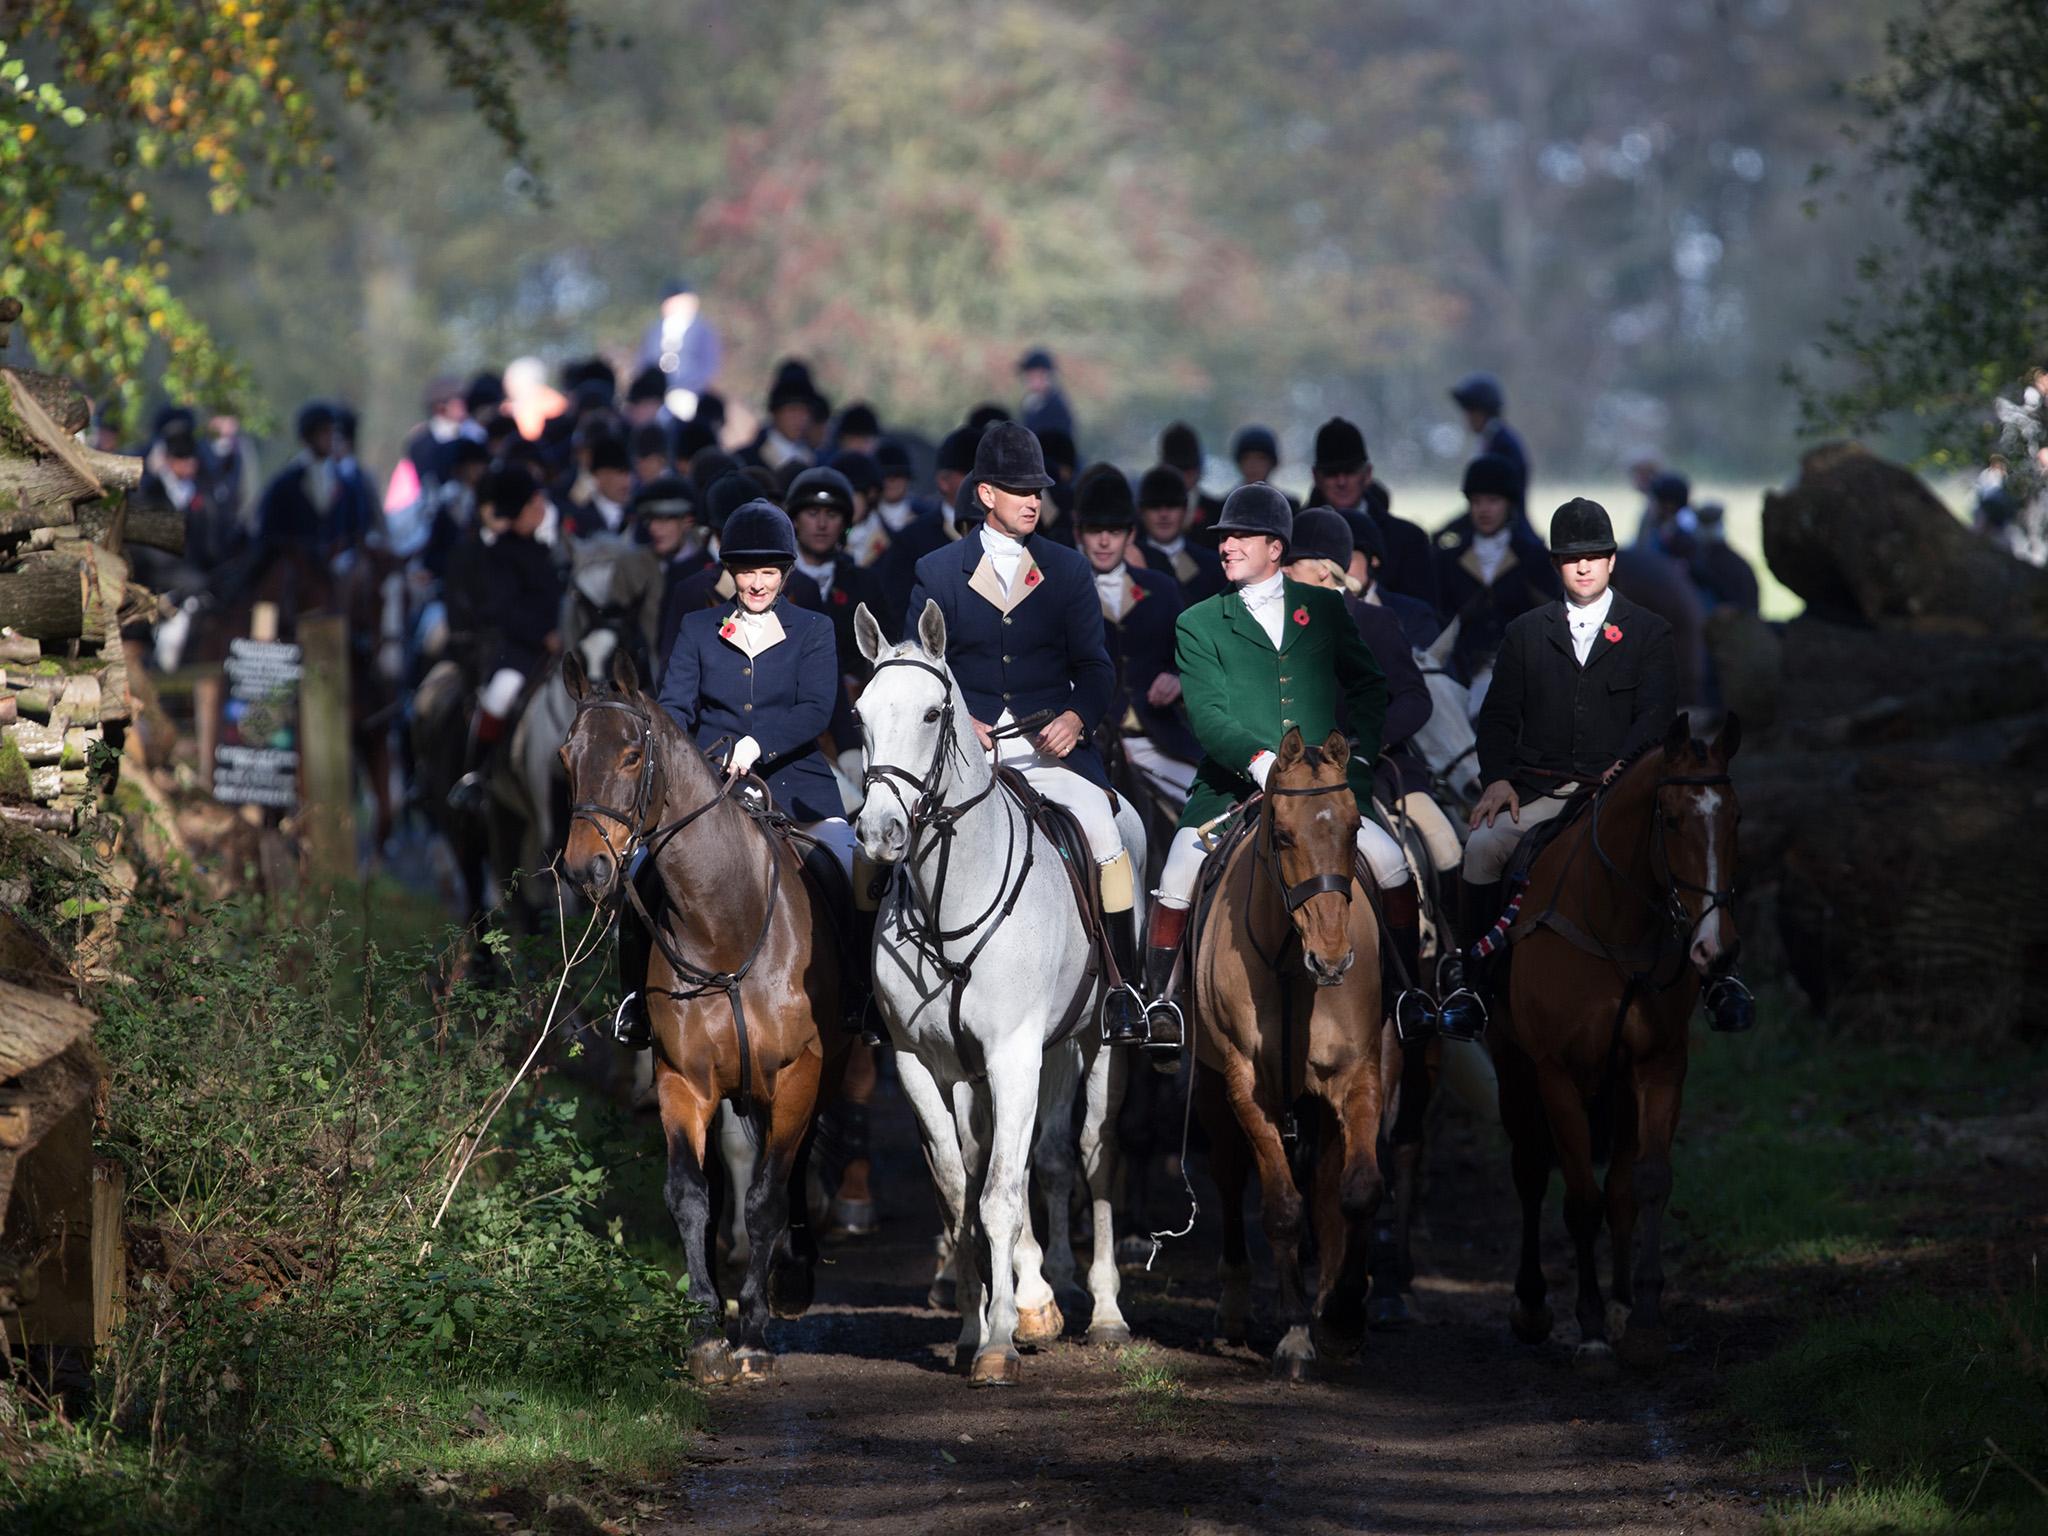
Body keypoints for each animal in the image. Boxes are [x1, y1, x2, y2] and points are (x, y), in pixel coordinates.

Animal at [557, 647, 843, 1384]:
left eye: (633, 754)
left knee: (794, 1163)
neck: (724, 922)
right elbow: (689, 1194)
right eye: (568, 754)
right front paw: (705, 1330)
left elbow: (768, 1194)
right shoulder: (682, 1080)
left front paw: (754, 1332)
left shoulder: (797, 1074)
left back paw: (791, 1278)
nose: (584, 871)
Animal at [847, 602, 1138, 1384]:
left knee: (1091, 1152)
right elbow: (960, 1193)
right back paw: (1037, 1297)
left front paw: (1001, 1342)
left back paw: (1101, 1311)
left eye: (932, 712)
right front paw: (974, 1328)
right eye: (860, 715)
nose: (880, 832)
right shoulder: (922, 1064)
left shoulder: (1014, 1054)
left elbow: (1003, 1195)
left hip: (1095, 1042)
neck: (954, 891)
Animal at [1187, 729, 1392, 1392]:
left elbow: (1358, 1191)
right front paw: (1297, 1333)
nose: (1333, 958)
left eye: (1354, 828)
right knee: (1229, 1177)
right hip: (1210, 1090)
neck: (1287, 965)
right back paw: (1235, 1307)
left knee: (1328, 1184)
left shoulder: (1360, 1074)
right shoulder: (1246, 1085)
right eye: (1281, 836)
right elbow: (1280, 1207)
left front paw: (1343, 1315)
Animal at [1490, 716, 1744, 1376]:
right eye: (1672, 819)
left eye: (1736, 819)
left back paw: (1625, 1303)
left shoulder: (1660, 1066)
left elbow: (1647, 1181)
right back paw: (1532, 1306)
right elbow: (1579, 1197)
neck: (1614, 920)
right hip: (1515, 1068)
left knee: (1622, 1186)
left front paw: (1645, 1320)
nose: (1715, 950)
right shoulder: (1555, 1073)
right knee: (1531, 1169)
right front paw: (1591, 1330)